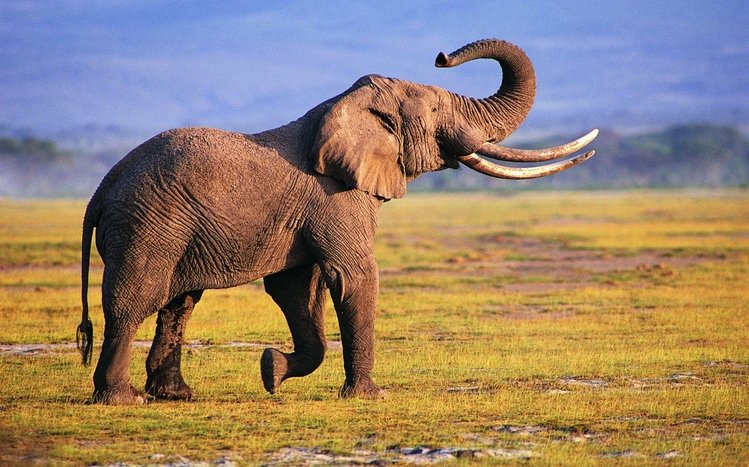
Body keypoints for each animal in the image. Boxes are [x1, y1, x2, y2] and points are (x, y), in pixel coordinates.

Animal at [76, 39, 598, 404]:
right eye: (435, 109)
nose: (442, 55)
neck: (344, 105)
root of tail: (101, 189)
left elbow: (296, 290)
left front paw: (271, 370)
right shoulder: (337, 198)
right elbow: (354, 276)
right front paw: (369, 396)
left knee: (178, 303)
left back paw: (176, 395)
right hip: (148, 223)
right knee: (135, 300)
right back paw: (121, 400)